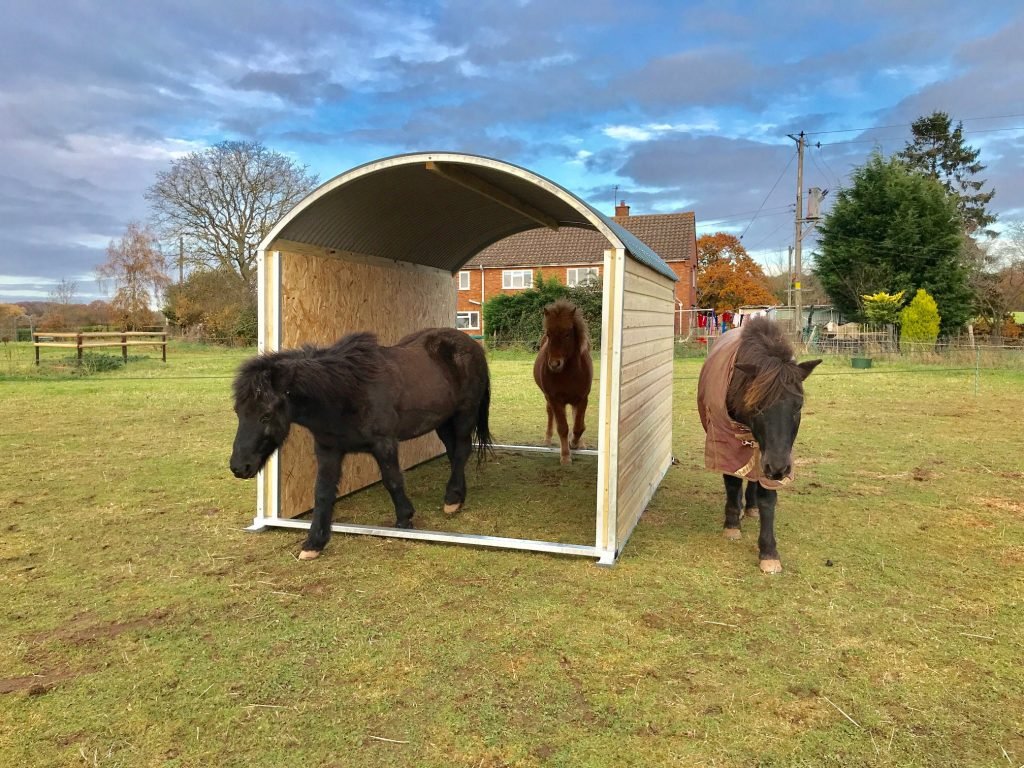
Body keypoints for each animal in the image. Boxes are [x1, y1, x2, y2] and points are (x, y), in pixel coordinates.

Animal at [230, 327, 494, 560]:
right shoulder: (328, 450)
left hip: (464, 415)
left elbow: (392, 481)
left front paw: (404, 518)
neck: (347, 391)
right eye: (238, 412)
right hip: (443, 421)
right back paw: (457, 497)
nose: (239, 467)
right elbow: (322, 493)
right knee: (454, 453)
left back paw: (452, 500)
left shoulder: (384, 443)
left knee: (461, 451)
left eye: (266, 415)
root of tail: (470, 344)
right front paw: (314, 543)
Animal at [533, 299, 594, 465]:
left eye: (567, 334)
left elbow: (579, 426)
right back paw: (548, 440)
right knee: (550, 414)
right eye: (548, 334)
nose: (554, 364)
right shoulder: (555, 399)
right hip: (549, 398)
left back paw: (580, 443)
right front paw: (566, 456)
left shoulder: (582, 398)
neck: (568, 373)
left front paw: (574, 443)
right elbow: (563, 428)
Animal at [697, 316, 821, 573]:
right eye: (757, 407)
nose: (779, 468)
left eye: (798, 407)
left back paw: (751, 507)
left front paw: (768, 551)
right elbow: (732, 482)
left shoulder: (773, 455)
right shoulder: (726, 441)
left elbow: (767, 497)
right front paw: (732, 524)